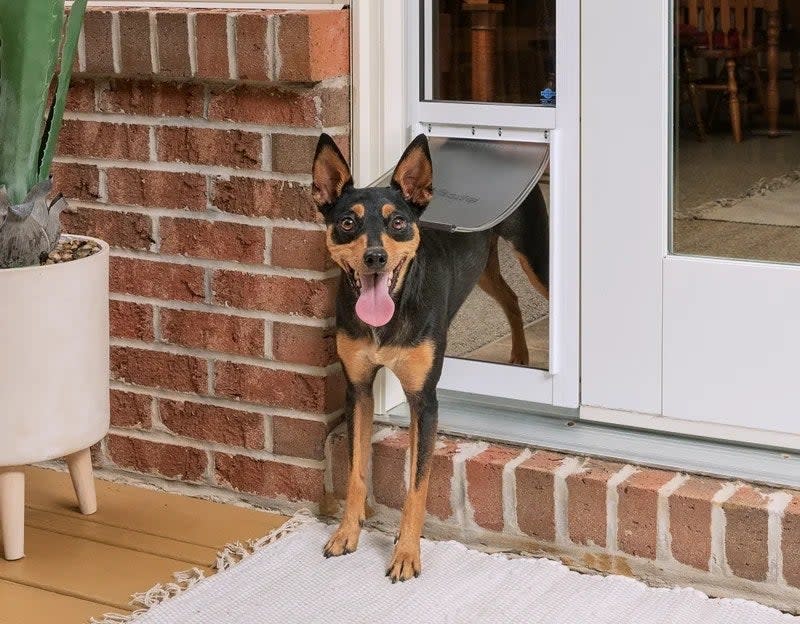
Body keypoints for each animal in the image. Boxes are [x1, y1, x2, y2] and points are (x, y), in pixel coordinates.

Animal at [312, 130, 552, 580]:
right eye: (347, 222)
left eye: (398, 222)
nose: (375, 257)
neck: (391, 309)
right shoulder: (358, 389)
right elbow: (355, 470)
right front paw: (347, 533)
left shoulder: (424, 400)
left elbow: (417, 484)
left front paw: (406, 554)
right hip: (483, 267)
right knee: (511, 299)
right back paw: (518, 356)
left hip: (535, 257)